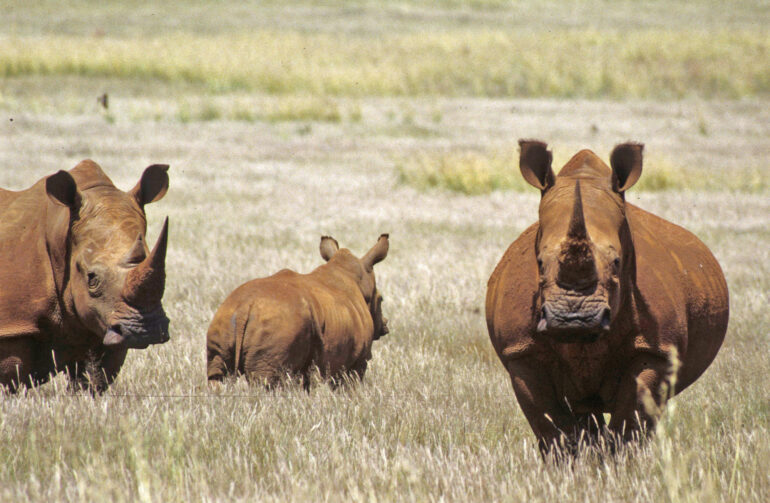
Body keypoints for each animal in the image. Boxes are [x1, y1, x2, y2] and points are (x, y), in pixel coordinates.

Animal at [0, 160, 170, 392]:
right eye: (92, 278)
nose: (146, 331)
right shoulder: (14, 324)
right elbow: (12, 377)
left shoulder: (106, 321)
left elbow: (94, 377)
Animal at [207, 234, 389, 385]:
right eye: (381, 300)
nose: (385, 325)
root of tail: (245, 307)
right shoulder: (356, 362)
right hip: (279, 326)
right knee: (264, 381)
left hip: (225, 316)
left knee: (217, 376)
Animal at [486, 140, 729, 455]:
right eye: (538, 262)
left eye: (616, 262)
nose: (573, 320)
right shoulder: (521, 352)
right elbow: (553, 430)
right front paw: (571, 465)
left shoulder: (655, 350)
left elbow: (629, 425)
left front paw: (618, 464)